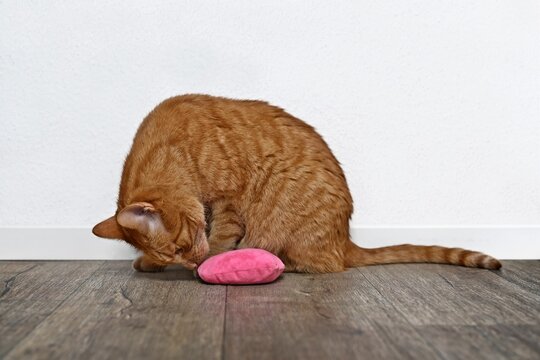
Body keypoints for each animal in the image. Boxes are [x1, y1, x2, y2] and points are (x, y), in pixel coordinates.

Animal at [93, 94, 502, 272]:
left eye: (181, 247)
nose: (191, 262)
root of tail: (344, 239)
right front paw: (150, 264)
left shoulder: (227, 202)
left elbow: (222, 237)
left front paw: (209, 262)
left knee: (322, 266)